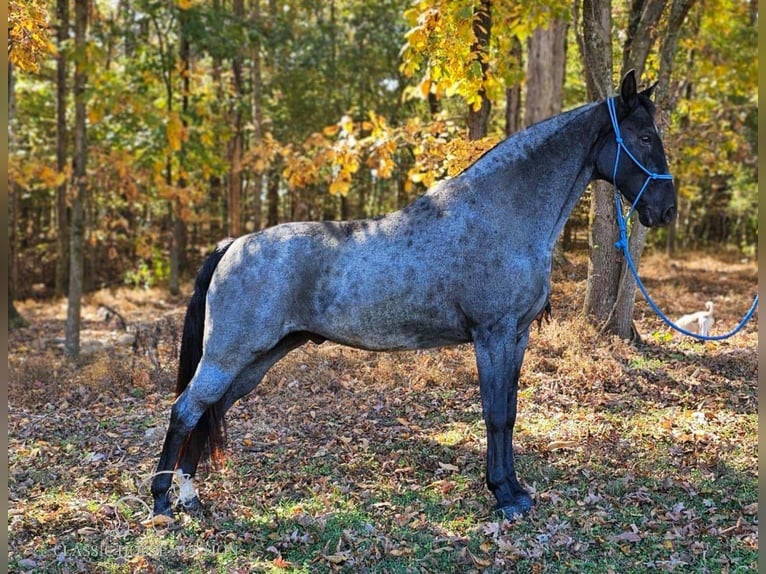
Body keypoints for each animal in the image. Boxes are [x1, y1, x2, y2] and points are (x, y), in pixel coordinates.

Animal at [152, 72, 680, 520]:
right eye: (644, 138)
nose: (667, 210)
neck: (501, 214)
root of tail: (233, 245)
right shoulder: (492, 336)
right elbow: (495, 415)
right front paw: (503, 496)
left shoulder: (517, 337)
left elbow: (509, 413)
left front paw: (515, 489)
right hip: (228, 356)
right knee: (185, 411)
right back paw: (162, 504)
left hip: (255, 362)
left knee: (209, 412)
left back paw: (190, 497)